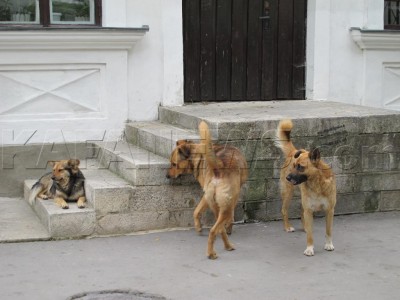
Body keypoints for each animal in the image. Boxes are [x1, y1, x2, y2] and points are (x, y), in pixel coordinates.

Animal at [166, 119, 247, 258]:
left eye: (174, 164)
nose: (166, 176)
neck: (198, 155)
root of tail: (218, 169)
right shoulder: (233, 199)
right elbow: (231, 216)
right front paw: (229, 226)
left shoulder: (205, 195)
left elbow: (196, 211)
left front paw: (198, 227)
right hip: (224, 206)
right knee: (215, 229)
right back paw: (215, 251)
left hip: (214, 203)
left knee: (219, 229)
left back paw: (225, 246)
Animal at [274, 119, 336, 255]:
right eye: (294, 165)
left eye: (300, 167)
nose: (288, 178)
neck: (316, 184)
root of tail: (294, 151)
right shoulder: (309, 209)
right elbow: (310, 236)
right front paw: (309, 248)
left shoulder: (329, 211)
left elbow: (329, 231)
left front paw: (329, 245)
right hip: (288, 193)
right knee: (284, 210)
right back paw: (287, 227)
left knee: (301, 213)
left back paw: (305, 227)